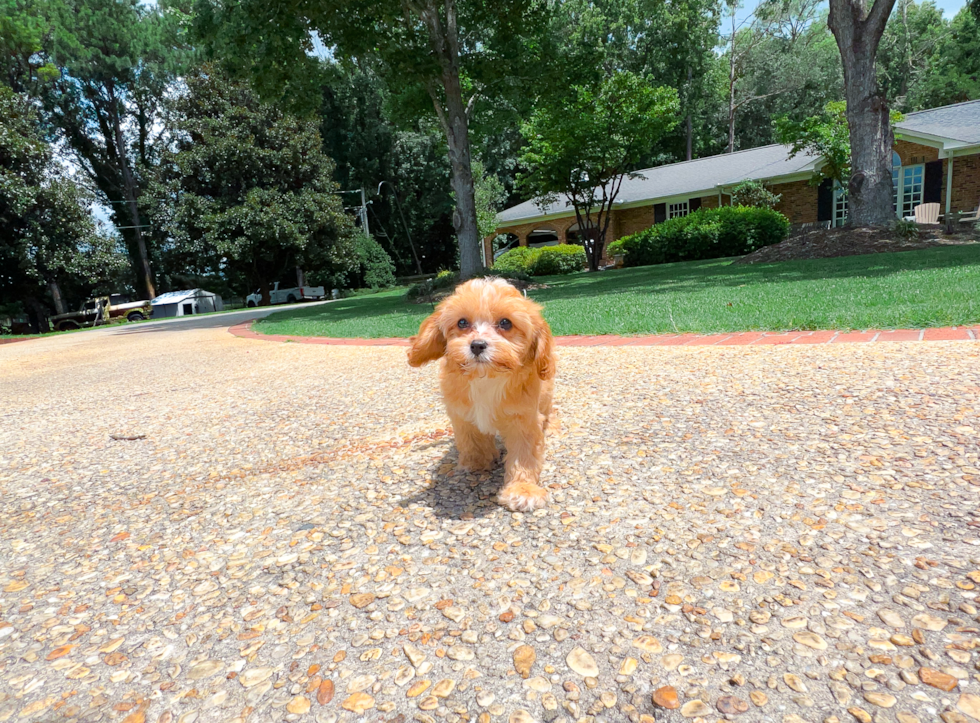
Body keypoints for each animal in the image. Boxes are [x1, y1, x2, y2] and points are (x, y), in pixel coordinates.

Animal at [410, 274, 556, 512]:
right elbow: (472, 439)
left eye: (506, 323)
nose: (477, 345)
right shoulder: (461, 413)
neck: (486, 377)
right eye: (462, 322)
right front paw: (476, 463)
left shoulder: (524, 418)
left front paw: (522, 490)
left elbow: (524, 454)